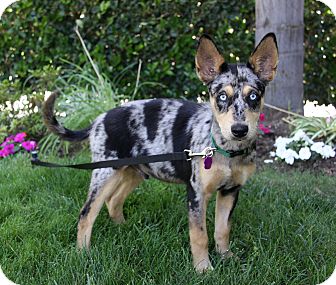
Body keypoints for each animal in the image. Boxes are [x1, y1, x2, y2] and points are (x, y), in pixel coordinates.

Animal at [42, 32, 278, 272]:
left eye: (253, 96)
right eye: (222, 96)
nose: (239, 130)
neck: (227, 151)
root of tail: (98, 119)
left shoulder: (230, 190)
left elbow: (222, 229)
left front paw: (226, 257)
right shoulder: (196, 192)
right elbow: (199, 235)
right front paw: (203, 269)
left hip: (133, 171)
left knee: (114, 201)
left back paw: (124, 228)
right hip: (104, 172)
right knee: (86, 214)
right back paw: (83, 254)